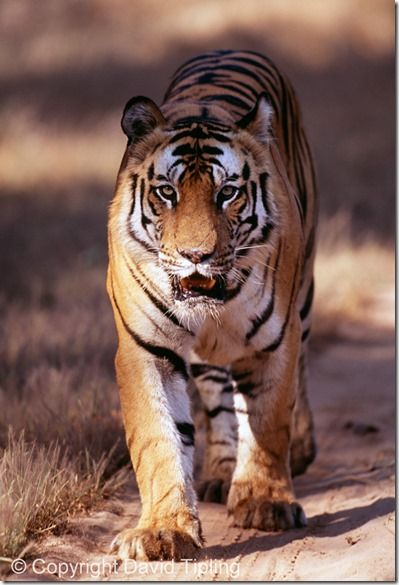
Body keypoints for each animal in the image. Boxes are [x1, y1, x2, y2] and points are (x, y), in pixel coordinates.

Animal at [107, 50, 318, 560]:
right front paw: (163, 530)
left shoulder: (274, 342)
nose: (195, 255)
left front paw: (264, 503)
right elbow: (159, 438)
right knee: (219, 401)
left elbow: (267, 422)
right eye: (167, 192)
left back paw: (300, 450)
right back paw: (221, 474)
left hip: (303, 298)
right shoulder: (147, 350)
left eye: (228, 193)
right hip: (207, 356)